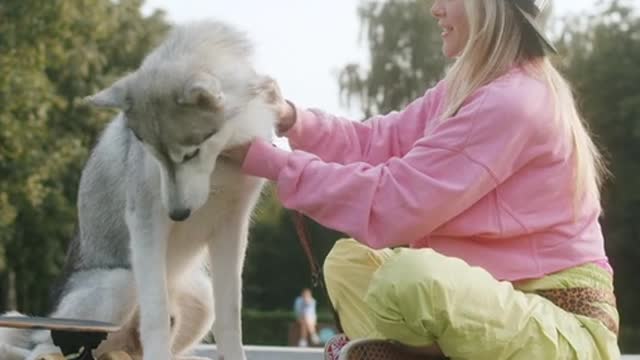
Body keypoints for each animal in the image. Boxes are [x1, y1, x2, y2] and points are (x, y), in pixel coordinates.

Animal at [2, 21, 278, 360]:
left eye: (191, 153)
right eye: (152, 153)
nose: (179, 214)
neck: (218, 165)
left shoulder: (232, 226)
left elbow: (231, 316)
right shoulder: (146, 221)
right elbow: (156, 312)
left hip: (200, 297)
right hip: (120, 282)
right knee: (44, 347)